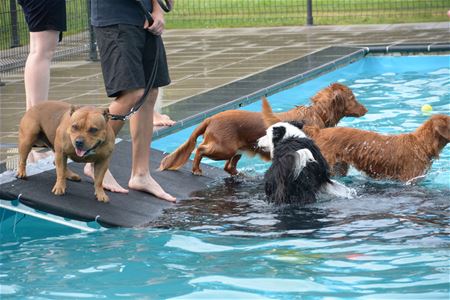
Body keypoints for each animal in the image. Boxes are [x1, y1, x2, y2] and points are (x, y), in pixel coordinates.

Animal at [160, 82, 368, 176]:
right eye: (353, 98)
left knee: (228, 166)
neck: (317, 113)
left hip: (238, 150)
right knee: (200, 149)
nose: (366, 109)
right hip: (224, 148)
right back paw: (196, 169)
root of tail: (210, 118)